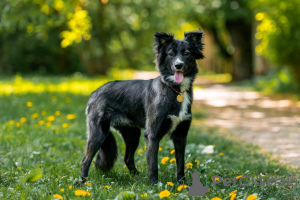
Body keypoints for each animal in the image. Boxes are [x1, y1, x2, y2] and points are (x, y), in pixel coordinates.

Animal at [80, 29, 204, 184]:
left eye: (186, 53)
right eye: (171, 54)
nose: (178, 65)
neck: (175, 89)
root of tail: (94, 92)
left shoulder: (181, 135)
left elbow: (180, 163)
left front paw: (182, 184)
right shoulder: (152, 134)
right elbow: (153, 164)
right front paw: (154, 185)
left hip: (132, 134)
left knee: (127, 158)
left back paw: (136, 177)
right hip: (98, 133)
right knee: (85, 160)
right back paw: (81, 183)